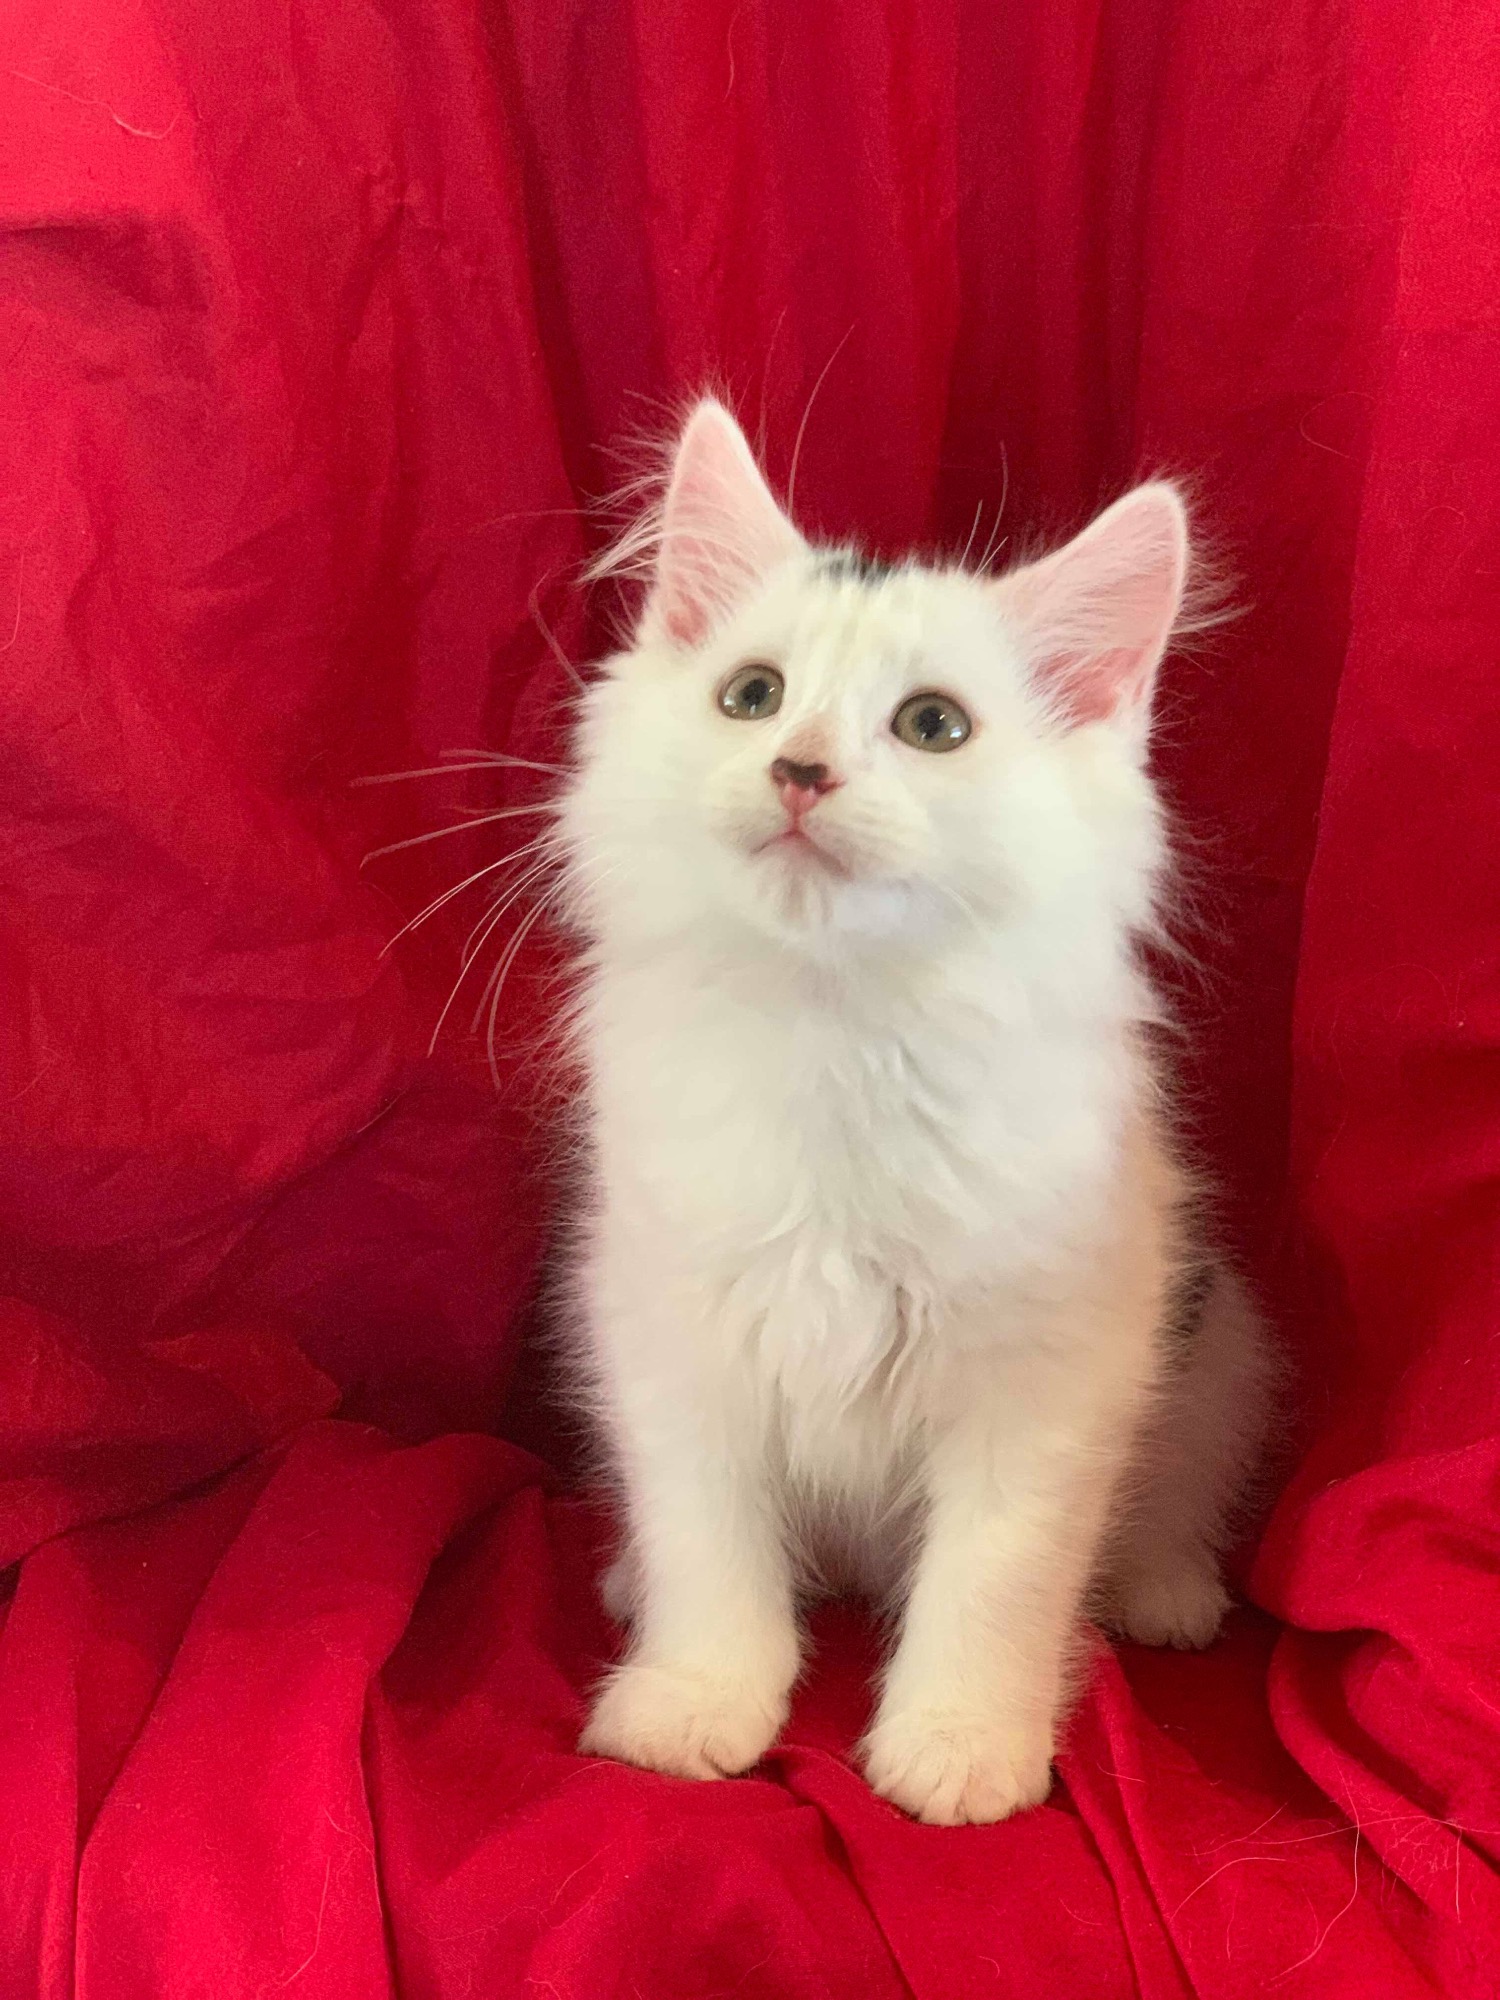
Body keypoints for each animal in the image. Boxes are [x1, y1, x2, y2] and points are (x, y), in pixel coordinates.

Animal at [556, 399, 1273, 1825]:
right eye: (753, 695)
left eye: (934, 725)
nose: (800, 770)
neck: (838, 1028)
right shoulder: (666, 1327)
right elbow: (707, 1538)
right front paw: (692, 1699)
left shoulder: (1051, 1370)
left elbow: (997, 1577)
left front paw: (960, 1747)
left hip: (1218, 1338)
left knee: (1179, 1483)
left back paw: (1165, 1589)